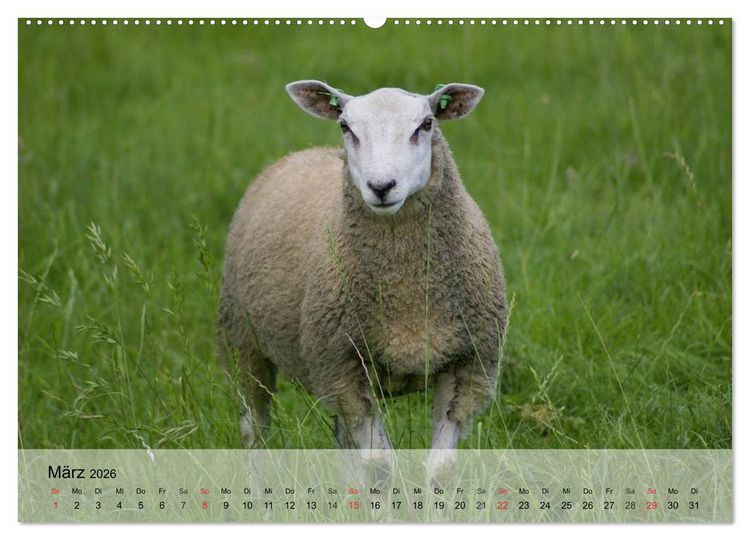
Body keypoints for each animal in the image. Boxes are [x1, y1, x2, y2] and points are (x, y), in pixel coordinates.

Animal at [218, 80, 507, 481]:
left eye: (426, 124)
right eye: (345, 126)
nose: (381, 186)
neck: (405, 285)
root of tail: (303, 152)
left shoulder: (469, 364)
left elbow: (441, 468)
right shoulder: (343, 367)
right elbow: (379, 464)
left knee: (340, 437)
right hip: (242, 342)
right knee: (254, 433)